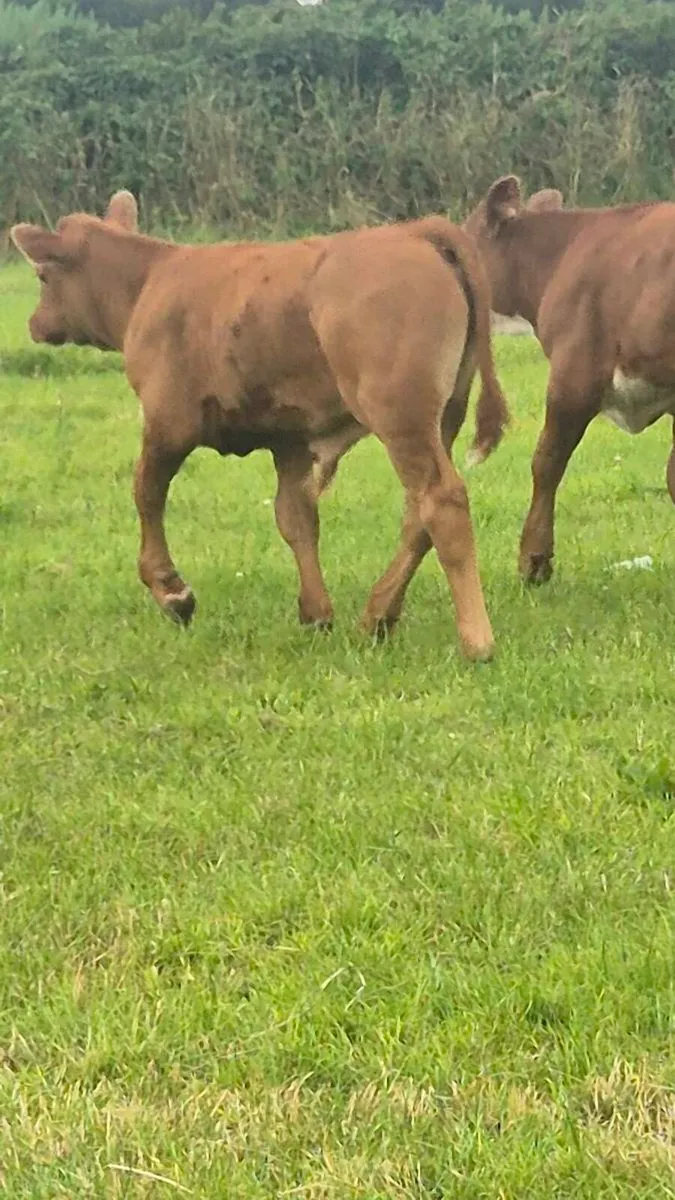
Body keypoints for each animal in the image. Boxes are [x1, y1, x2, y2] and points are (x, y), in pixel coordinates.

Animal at [11, 191, 510, 660]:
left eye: (43, 276)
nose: (34, 323)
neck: (150, 279)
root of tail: (416, 231)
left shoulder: (166, 422)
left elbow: (147, 494)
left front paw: (172, 591)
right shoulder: (290, 439)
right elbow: (296, 517)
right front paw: (315, 611)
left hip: (400, 416)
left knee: (441, 501)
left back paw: (476, 640)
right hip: (440, 418)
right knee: (416, 512)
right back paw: (377, 616)